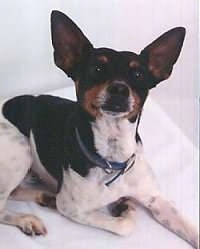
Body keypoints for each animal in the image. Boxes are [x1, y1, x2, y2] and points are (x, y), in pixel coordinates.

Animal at [0, 9, 198, 247]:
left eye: (138, 75)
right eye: (97, 68)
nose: (120, 89)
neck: (113, 158)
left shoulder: (156, 199)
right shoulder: (71, 207)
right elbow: (126, 226)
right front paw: (125, 208)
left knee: (15, 191)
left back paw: (44, 197)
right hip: (21, 150)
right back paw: (27, 219)